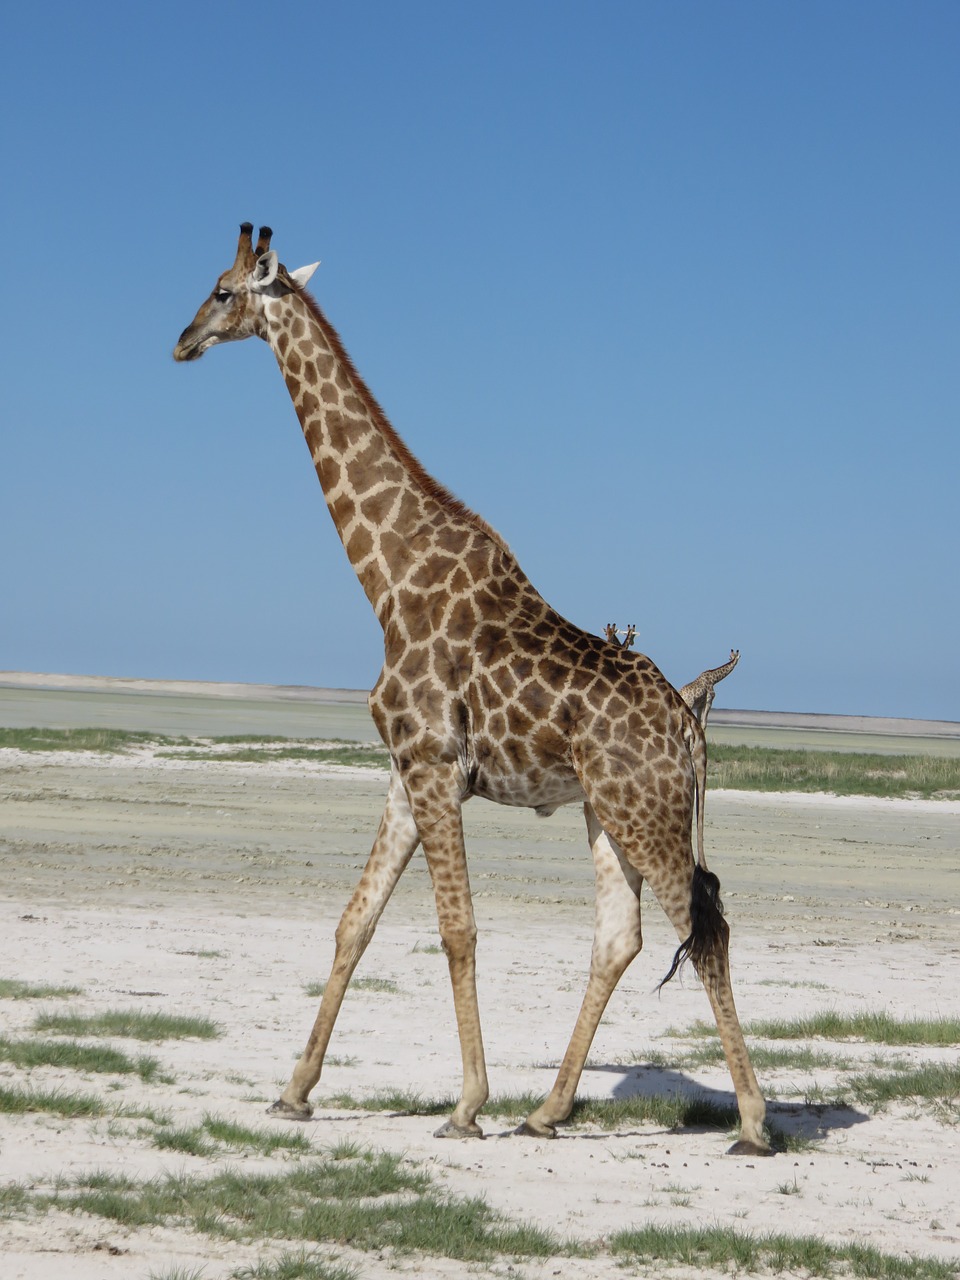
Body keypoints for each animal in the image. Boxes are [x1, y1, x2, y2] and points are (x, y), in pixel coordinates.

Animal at [172, 225, 773, 1157]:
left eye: (224, 290)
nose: (183, 340)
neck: (387, 578)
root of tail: (692, 723)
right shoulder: (404, 770)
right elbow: (356, 918)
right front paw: (295, 1092)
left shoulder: (433, 766)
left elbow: (457, 929)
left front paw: (466, 1104)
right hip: (609, 812)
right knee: (621, 936)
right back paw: (548, 1110)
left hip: (649, 813)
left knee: (704, 929)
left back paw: (749, 1122)